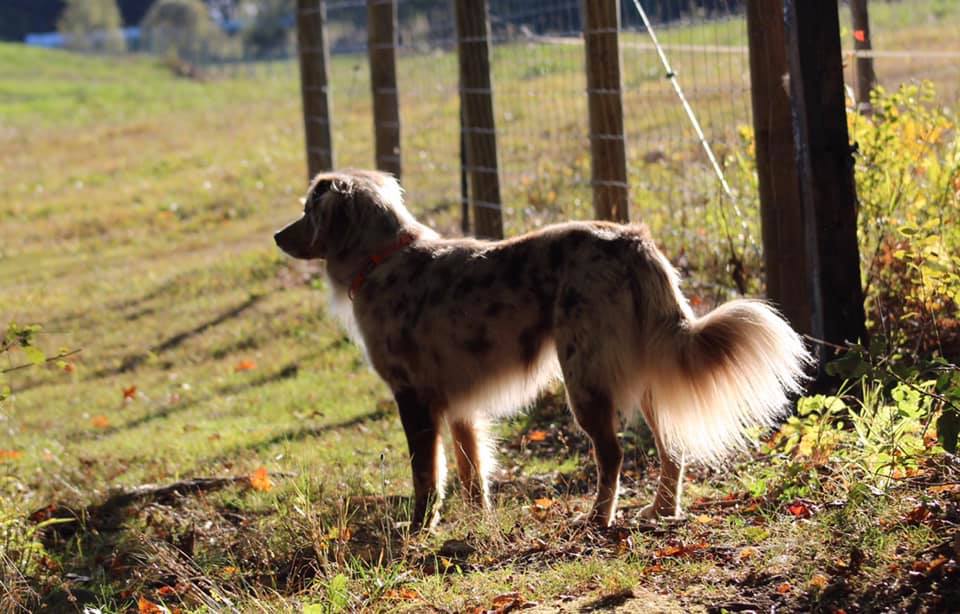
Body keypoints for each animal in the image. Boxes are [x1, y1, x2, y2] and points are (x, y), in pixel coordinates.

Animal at [276, 171, 808, 532]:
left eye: (306, 210)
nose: (278, 236)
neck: (385, 257)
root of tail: (631, 241)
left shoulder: (414, 398)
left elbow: (426, 474)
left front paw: (421, 527)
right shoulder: (461, 406)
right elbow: (472, 469)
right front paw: (478, 517)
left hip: (584, 378)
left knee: (611, 454)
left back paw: (598, 518)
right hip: (646, 376)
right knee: (671, 450)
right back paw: (661, 510)